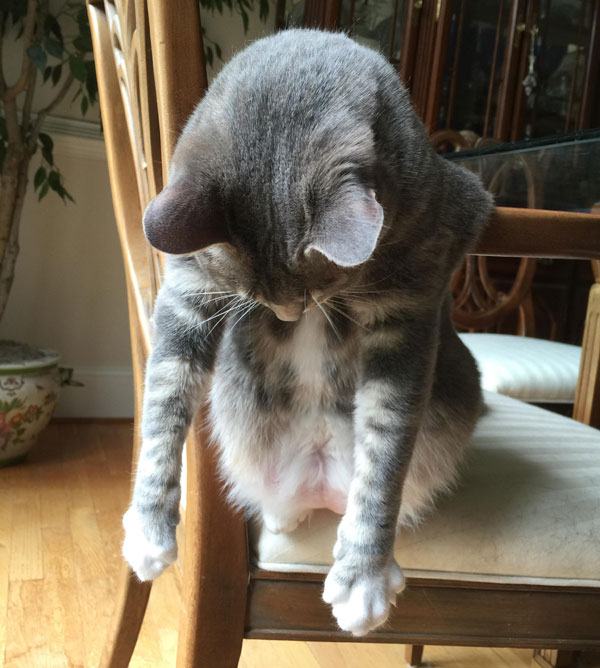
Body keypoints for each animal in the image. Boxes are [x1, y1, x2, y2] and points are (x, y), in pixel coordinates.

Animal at [122, 30, 492, 636]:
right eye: (251, 295)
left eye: (321, 283)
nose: (289, 312)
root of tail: (319, 487)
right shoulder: (187, 294)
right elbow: (162, 409)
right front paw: (149, 532)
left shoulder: (409, 313)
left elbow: (385, 449)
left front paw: (363, 578)